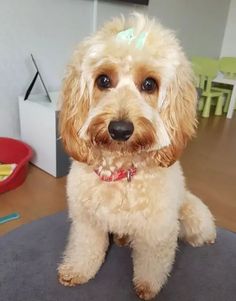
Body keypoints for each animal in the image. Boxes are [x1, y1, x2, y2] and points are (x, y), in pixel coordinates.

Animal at [57, 13, 216, 298]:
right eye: (103, 80)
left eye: (149, 84)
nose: (120, 129)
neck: (120, 171)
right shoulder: (87, 222)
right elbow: (86, 249)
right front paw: (77, 271)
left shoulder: (157, 231)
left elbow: (151, 264)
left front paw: (147, 287)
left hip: (191, 215)